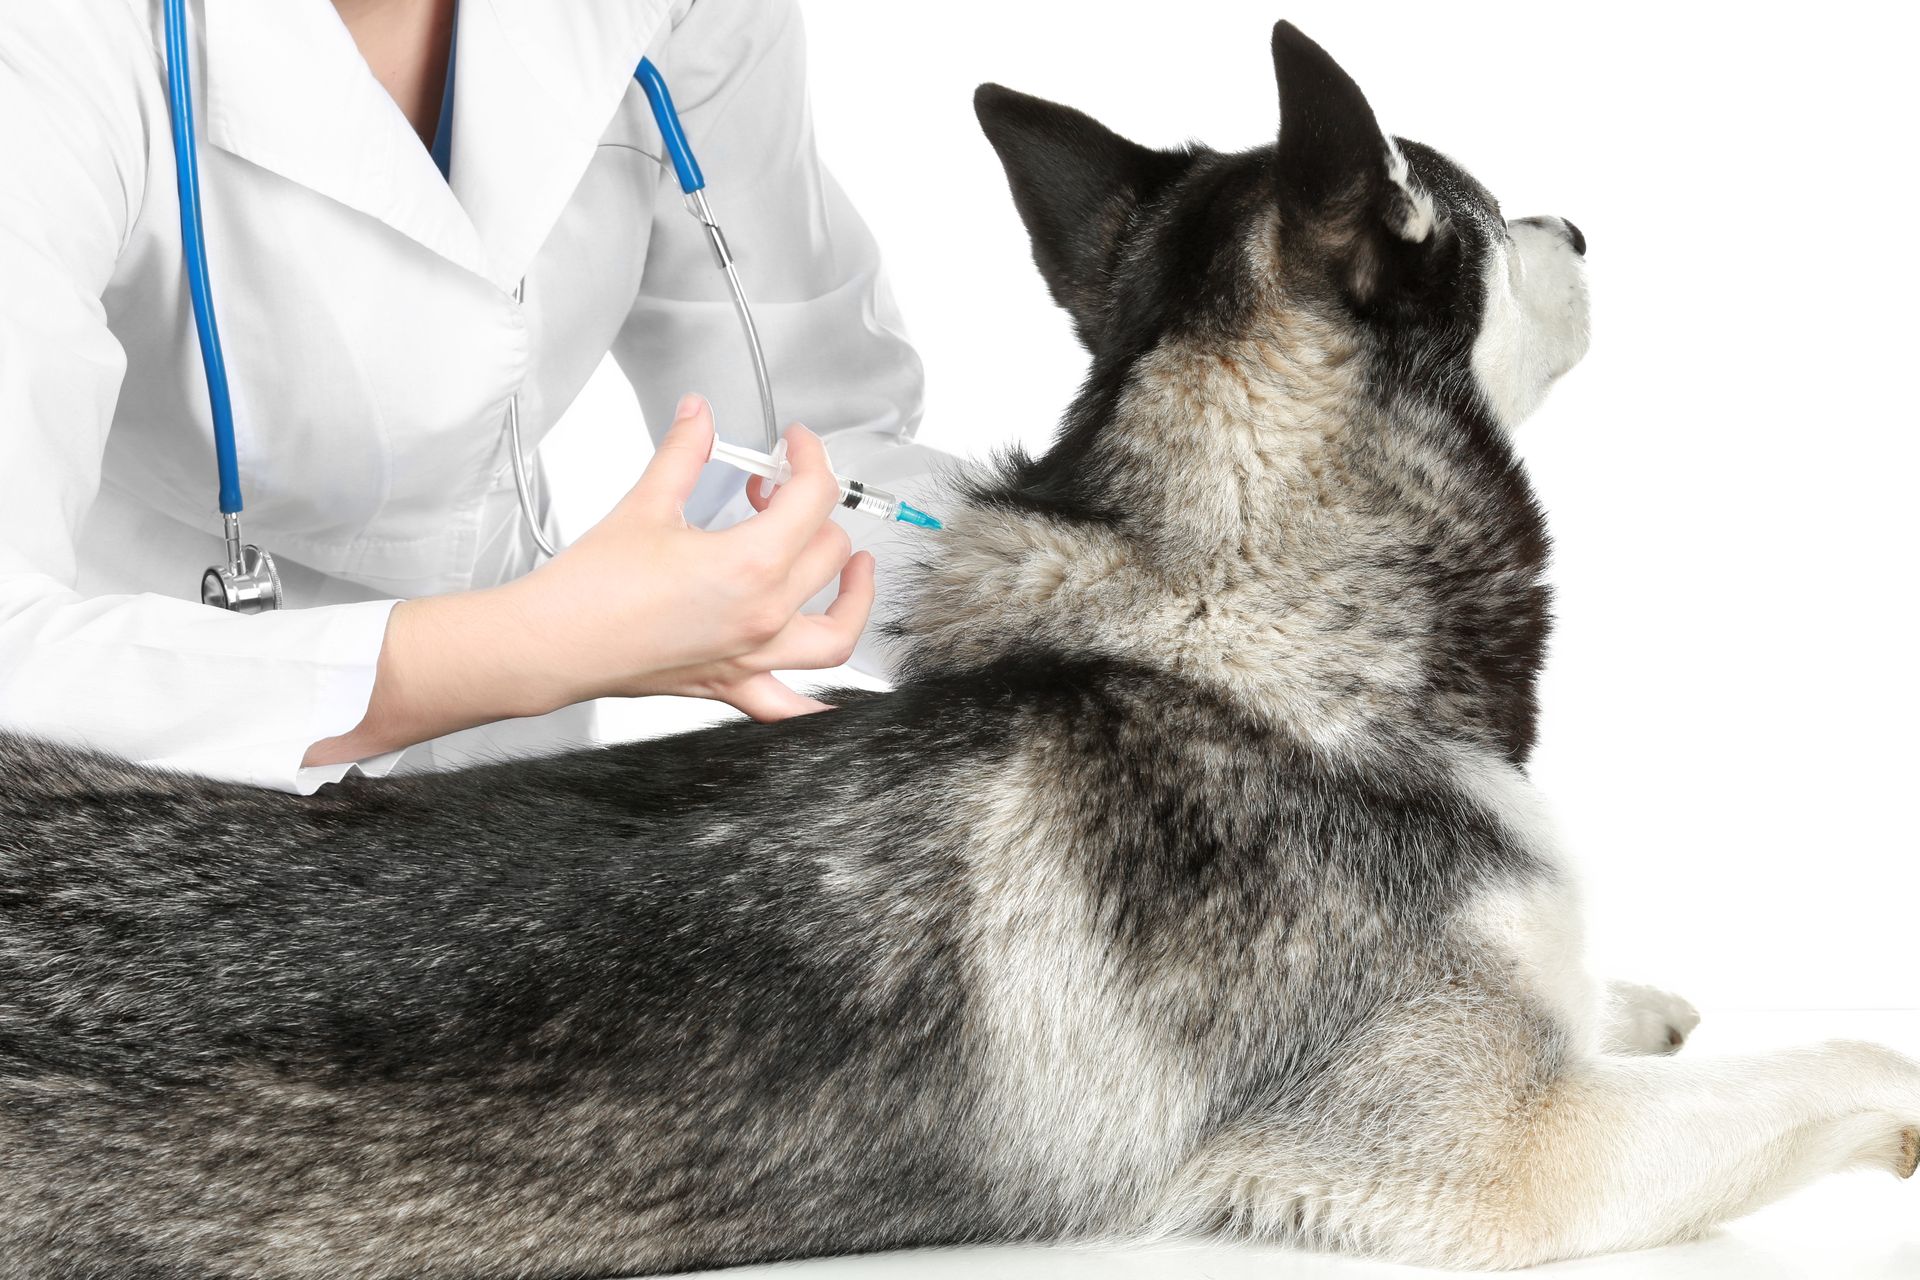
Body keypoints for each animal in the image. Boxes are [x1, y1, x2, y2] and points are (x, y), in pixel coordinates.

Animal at [3, 20, 1920, 1280]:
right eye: (1473, 206)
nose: (1583, 226)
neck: (1241, 632)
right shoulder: (1506, 1160)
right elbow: (1843, 1061)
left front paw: (1633, 990)